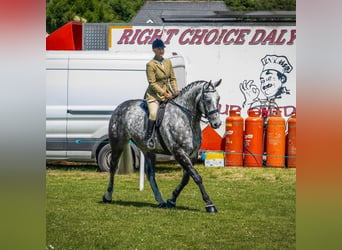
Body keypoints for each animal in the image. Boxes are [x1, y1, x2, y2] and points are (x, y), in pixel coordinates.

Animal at [103, 79, 223, 212]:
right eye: (207, 99)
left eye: (218, 98)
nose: (217, 123)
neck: (185, 118)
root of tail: (121, 106)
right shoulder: (179, 152)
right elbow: (196, 177)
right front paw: (209, 204)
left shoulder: (192, 155)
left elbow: (186, 178)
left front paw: (171, 200)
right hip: (118, 144)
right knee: (113, 167)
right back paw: (108, 196)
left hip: (148, 151)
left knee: (150, 174)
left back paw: (160, 201)